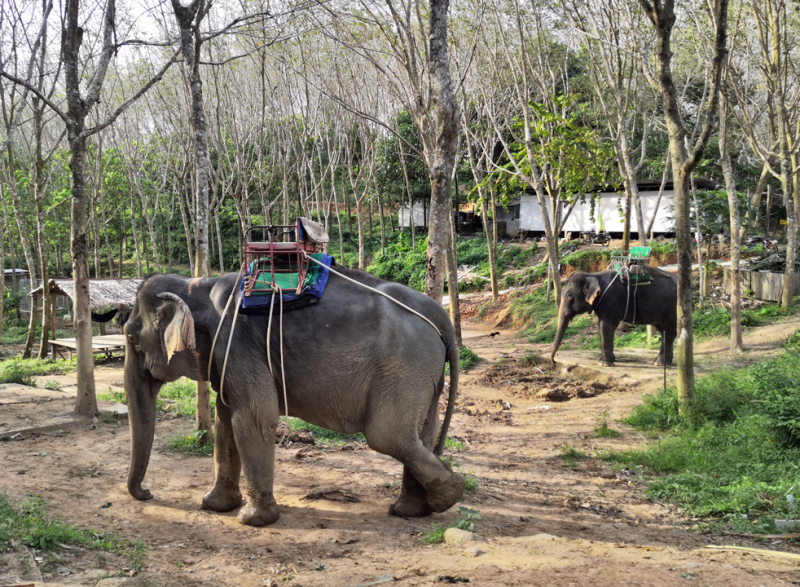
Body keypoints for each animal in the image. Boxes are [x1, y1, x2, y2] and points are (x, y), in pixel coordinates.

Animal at [122, 272, 466, 528]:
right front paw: (215, 506)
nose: (148, 493)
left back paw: (449, 494)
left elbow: (254, 417)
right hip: (424, 373)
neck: (198, 285)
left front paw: (253, 520)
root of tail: (441, 317)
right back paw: (411, 510)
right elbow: (225, 420)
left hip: (405, 365)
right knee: (422, 431)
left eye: (131, 339)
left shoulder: (238, 344)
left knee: (387, 435)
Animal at [552, 268, 680, 368]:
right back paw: (660, 362)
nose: (553, 361)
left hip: (673, 308)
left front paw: (604, 363)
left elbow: (606, 327)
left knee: (668, 332)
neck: (593, 275)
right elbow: (601, 326)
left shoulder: (611, 300)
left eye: (569, 295)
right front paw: (609, 359)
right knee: (663, 331)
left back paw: (660, 363)